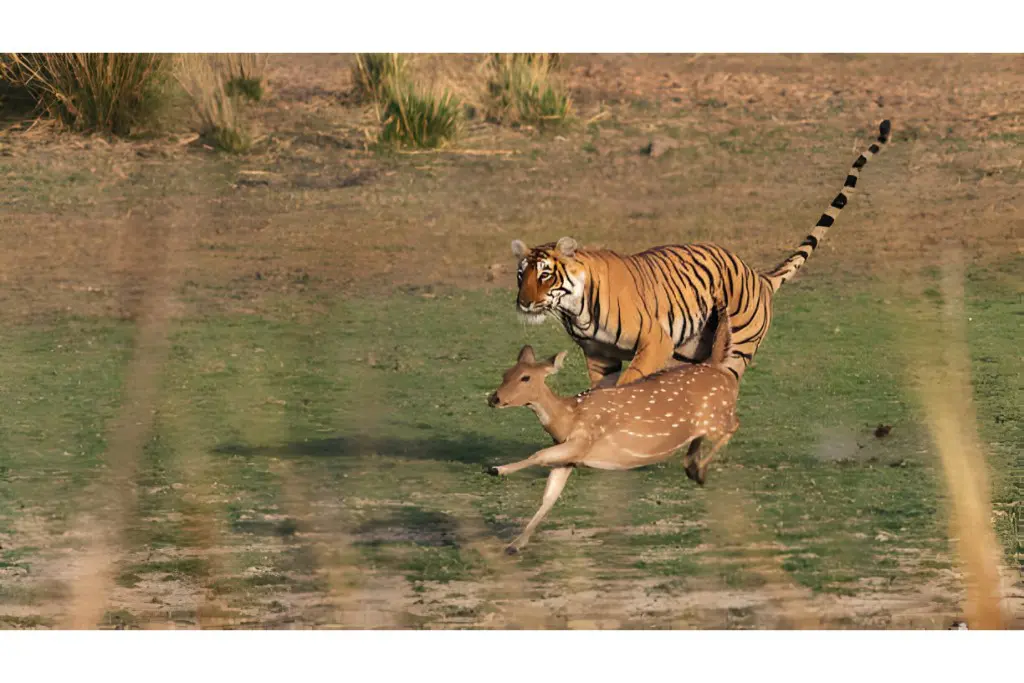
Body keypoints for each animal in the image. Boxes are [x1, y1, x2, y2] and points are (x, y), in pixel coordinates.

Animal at [485, 306, 740, 554]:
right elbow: (548, 498)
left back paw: (699, 469)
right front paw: (515, 544)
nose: (493, 398)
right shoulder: (569, 459)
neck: (568, 417)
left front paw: (497, 469)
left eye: (525, 377)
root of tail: (721, 372)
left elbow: (538, 455)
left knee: (734, 424)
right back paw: (692, 467)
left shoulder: (583, 441)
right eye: (505, 374)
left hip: (717, 415)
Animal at [512, 119, 891, 387]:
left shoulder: (655, 341)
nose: (524, 303)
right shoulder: (599, 358)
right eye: (521, 274)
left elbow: (626, 386)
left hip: (735, 349)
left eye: (545, 274)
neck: (575, 309)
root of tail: (759, 277)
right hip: (692, 351)